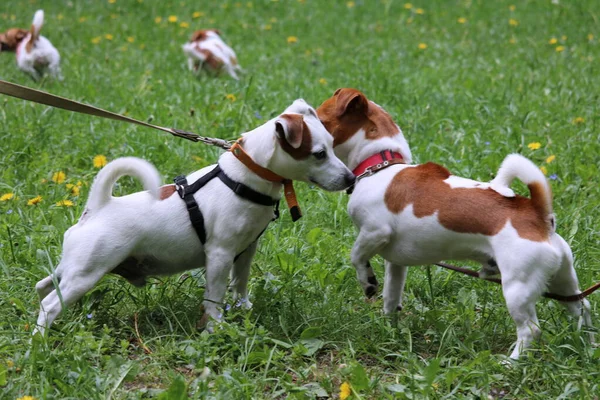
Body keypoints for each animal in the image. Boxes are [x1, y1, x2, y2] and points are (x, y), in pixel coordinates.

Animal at [316, 87, 592, 360]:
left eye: (321, 120)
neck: (380, 165)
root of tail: (538, 214)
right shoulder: (395, 263)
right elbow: (391, 297)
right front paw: (390, 330)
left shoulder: (374, 232)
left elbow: (356, 256)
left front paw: (368, 282)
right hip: (563, 282)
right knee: (582, 307)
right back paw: (588, 345)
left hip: (517, 288)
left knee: (530, 330)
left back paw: (511, 362)